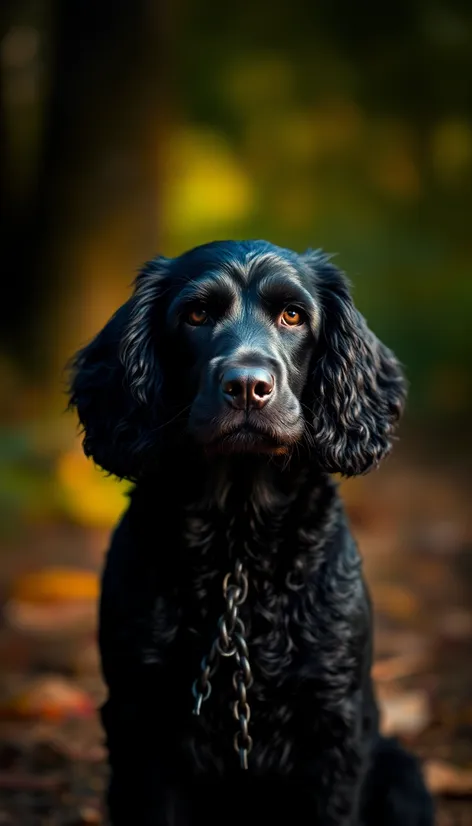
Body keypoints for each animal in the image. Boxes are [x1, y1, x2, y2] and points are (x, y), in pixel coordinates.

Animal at [68, 240, 434, 824]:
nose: (246, 387)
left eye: (293, 315)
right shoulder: (141, 724)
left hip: (403, 776)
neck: (238, 547)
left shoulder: (334, 726)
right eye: (196, 315)